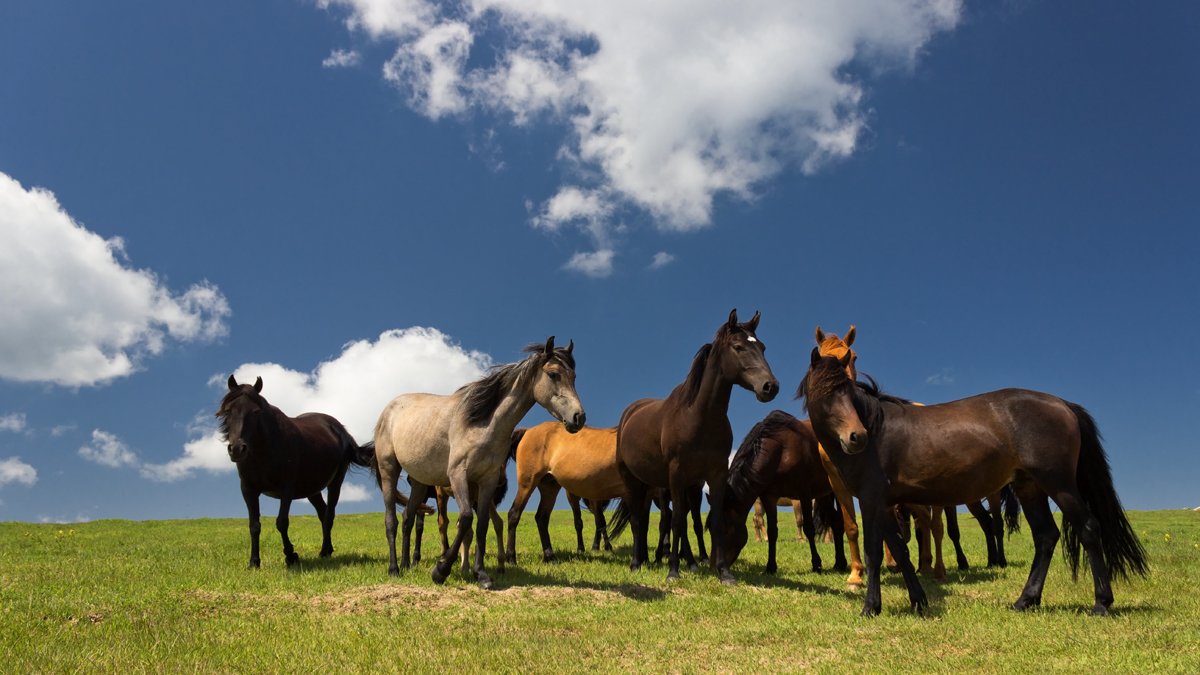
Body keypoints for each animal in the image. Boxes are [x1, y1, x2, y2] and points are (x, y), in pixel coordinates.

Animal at [218, 372, 376, 566]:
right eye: (228, 411)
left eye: (256, 412)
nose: (237, 449)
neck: (265, 449)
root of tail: (342, 431)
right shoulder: (248, 490)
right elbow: (254, 525)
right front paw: (254, 562)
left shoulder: (286, 489)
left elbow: (282, 522)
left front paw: (291, 555)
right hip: (312, 489)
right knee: (323, 512)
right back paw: (327, 550)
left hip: (335, 482)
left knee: (329, 515)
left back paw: (324, 551)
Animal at [369, 333, 585, 586]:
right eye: (553, 374)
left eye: (574, 376)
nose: (579, 417)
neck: (482, 423)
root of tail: (389, 409)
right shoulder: (458, 475)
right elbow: (465, 518)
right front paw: (441, 570)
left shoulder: (487, 480)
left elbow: (482, 524)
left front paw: (481, 573)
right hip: (389, 470)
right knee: (391, 520)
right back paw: (394, 568)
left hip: (420, 482)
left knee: (407, 517)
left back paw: (405, 564)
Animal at [614, 307, 782, 581]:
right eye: (738, 347)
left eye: (763, 347)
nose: (770, 387)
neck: (699, 417)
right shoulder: (676, 475)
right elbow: (677, 521)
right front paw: (673, 570)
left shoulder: (714, 474)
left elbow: (713, 521)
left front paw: (724, 572)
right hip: (632, 480)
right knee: (639, 520)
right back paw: (637, 563)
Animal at [715, 408, 849, 576]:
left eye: (726, 531)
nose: (717, 565)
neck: (781, 451)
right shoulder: (769, 497)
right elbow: (773, 531)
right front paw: (770, 566)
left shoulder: (803, 494)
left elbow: (808, 527)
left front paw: (816, 563)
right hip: (823, 495)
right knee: (835, 521)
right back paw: (839, 563)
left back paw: (841, 563)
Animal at [801, 345, 1147, 614]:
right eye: (824, 392)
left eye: (848, 392)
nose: (856, 437)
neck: (878, 430)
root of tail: (1063, 404)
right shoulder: (883, 503)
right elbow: (899, 550)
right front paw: (918, 600)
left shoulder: (872, 500)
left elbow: (875, 552)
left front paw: (871, 606)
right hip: (1029, 487)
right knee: (1046, 536)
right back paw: (1025, 600)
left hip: (1060, 486)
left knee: (1088, 529)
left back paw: (1101, 603)